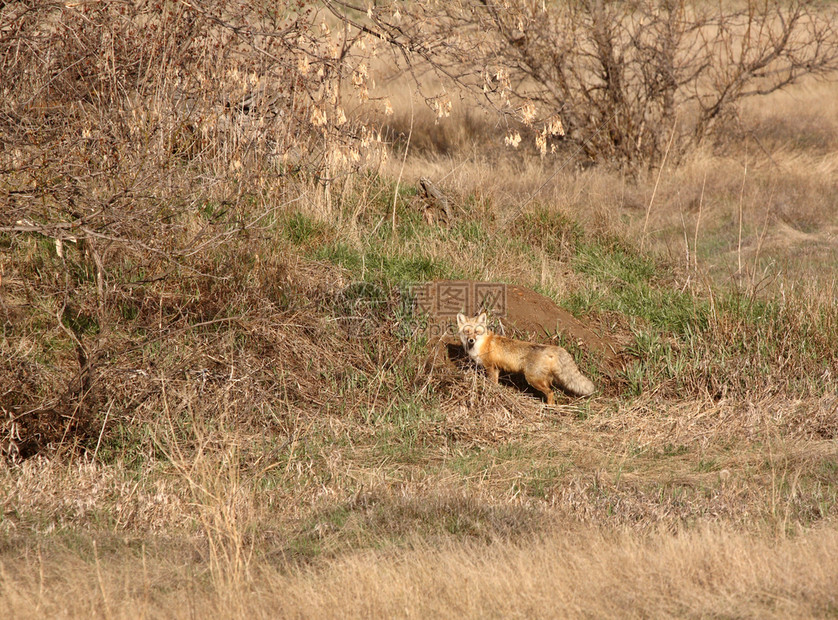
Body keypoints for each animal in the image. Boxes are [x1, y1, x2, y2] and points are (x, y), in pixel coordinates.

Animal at [460, 312, 596, 404]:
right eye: (467, 332)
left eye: (477, 332)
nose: (471, 340)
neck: (482, 344)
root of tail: (551, 347)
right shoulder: (496, 369)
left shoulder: (491, 367)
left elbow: (492, 383)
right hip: (542, 379)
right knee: (551, 390)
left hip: (533, 379)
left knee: (550, 392)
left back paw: (549, 408)